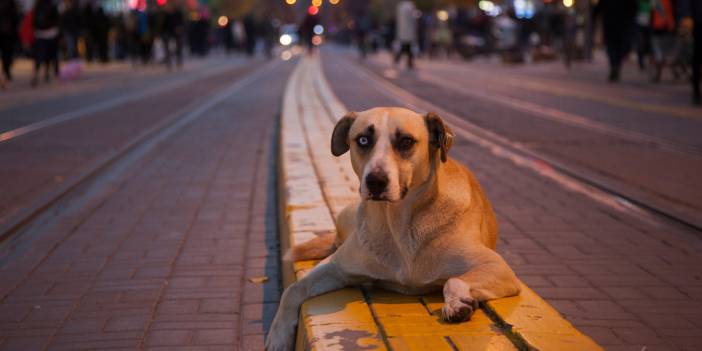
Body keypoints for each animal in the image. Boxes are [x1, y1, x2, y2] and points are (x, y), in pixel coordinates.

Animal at [266, 108, 520, 351]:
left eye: (406, 141)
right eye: (363, 140)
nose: (376, 181)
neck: (399, 224)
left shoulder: (496, 266)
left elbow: (453, 280)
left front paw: (457, 303)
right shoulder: (336, 267)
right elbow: (293, 289)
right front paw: (278, 336)